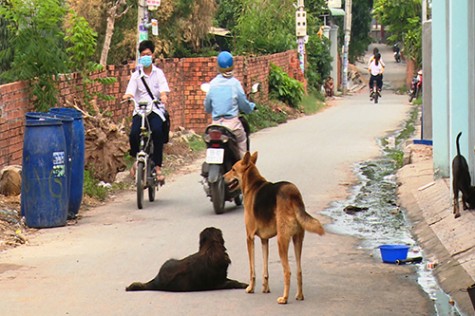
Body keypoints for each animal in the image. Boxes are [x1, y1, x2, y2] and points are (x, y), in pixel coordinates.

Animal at [225, 152, 326, 304]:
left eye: (233, 169)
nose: (222, 177)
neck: (253, 185)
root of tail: (293, 194)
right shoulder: (264, 240)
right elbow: (265, 269)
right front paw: (265, 288)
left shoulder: (249, 238)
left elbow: (252, 269)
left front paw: (251, 288)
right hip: (297, 240)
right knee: (299, 270)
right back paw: (299, 295)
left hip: (281, 241)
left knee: (287, 271)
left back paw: (284, 298)